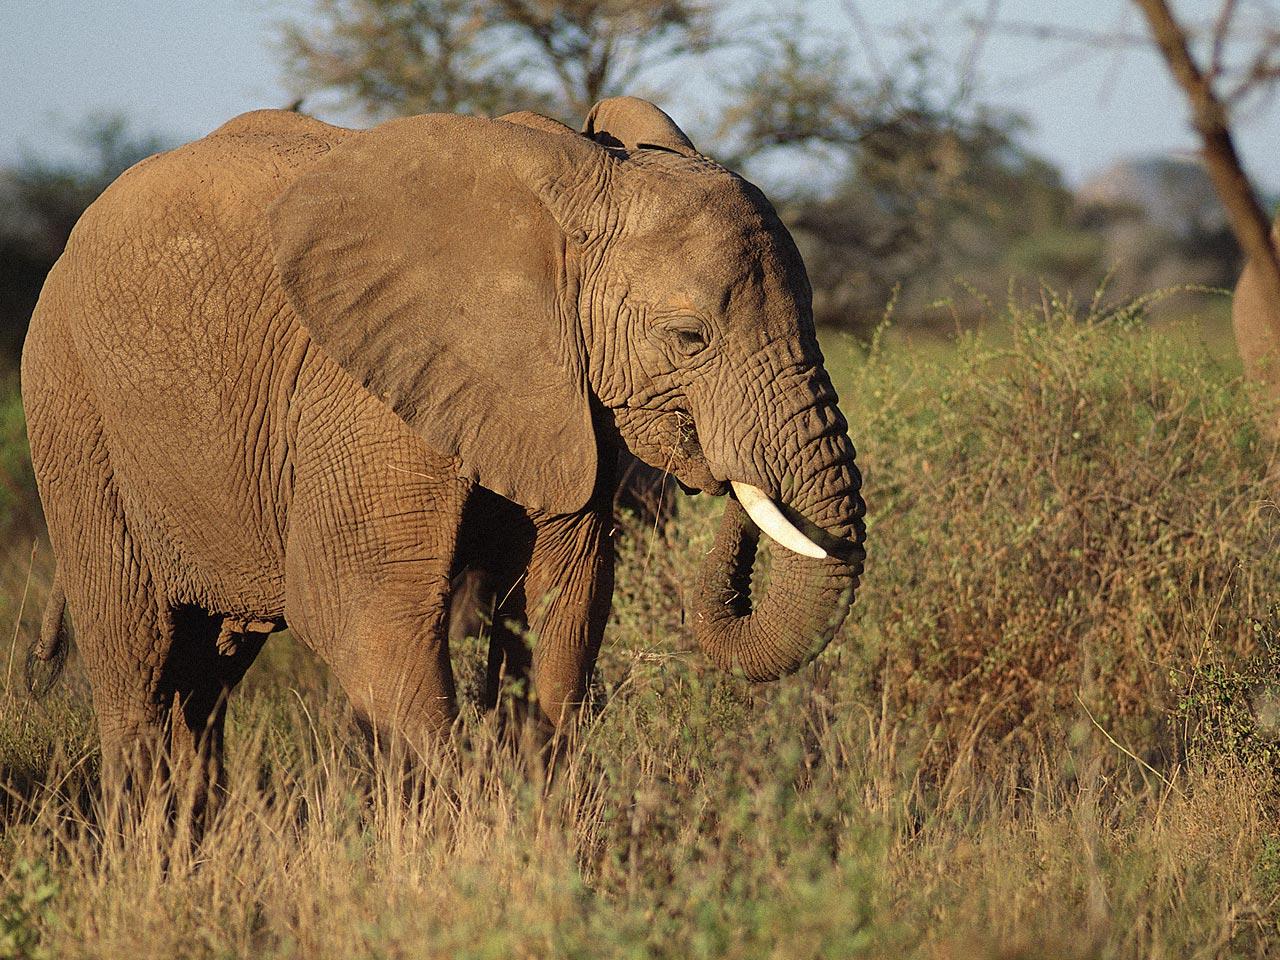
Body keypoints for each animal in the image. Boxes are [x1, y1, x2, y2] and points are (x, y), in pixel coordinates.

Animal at [24, 96, 870, 803]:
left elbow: (565, 604)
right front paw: (467, 821)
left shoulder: (565, 404)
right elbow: (363, 612)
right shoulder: (365, 396)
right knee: (138, 663)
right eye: (690, 338)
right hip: (71, 412)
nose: (727, 480)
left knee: (206, 682)